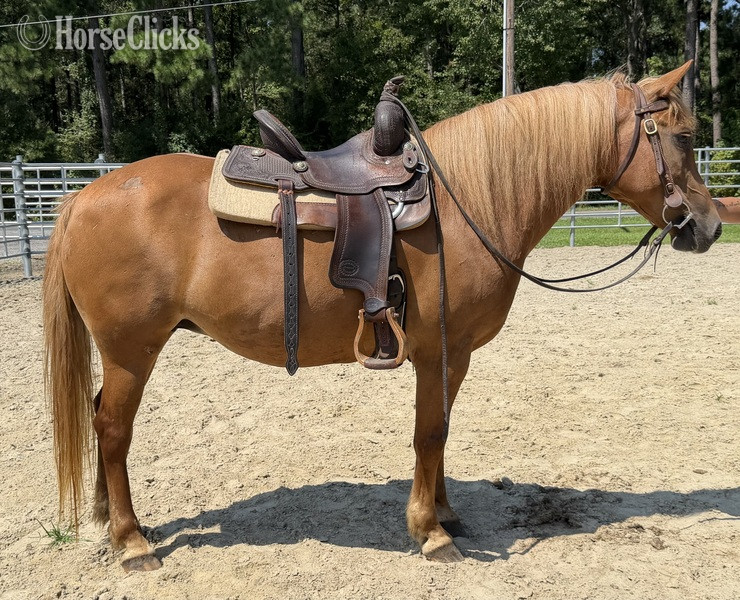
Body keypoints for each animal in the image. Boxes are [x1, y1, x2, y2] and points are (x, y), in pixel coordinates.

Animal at [42, 62, 721, 571]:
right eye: (683, 137)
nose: (711, 226)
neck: (468, 201)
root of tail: (82, 195)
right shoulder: (438, 347)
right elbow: (429, 432)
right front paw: (431, 532)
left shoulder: (453, 354)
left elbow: (441, 429)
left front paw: (445, 513)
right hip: (132, 350)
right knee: (112, 429)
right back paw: (132, 543)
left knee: (102, 419)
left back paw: (108, 521)